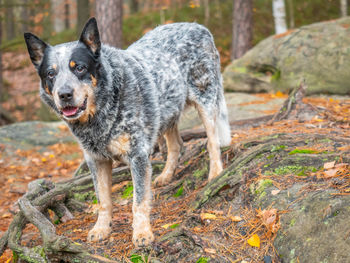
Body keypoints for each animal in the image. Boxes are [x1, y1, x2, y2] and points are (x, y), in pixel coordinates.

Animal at [25, 17, 232, 249]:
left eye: (79, 68)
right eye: (50, 74)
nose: (64, 94)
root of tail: (198, 26)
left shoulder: (138, 155)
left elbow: (139, 201)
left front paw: (142, 233)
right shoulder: (96, 160)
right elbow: (103, 200)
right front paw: (101, 229)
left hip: (205, 99)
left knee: (212, 142)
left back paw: (215, 173)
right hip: (167, 110)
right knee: (176, 145)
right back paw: (166, 175)